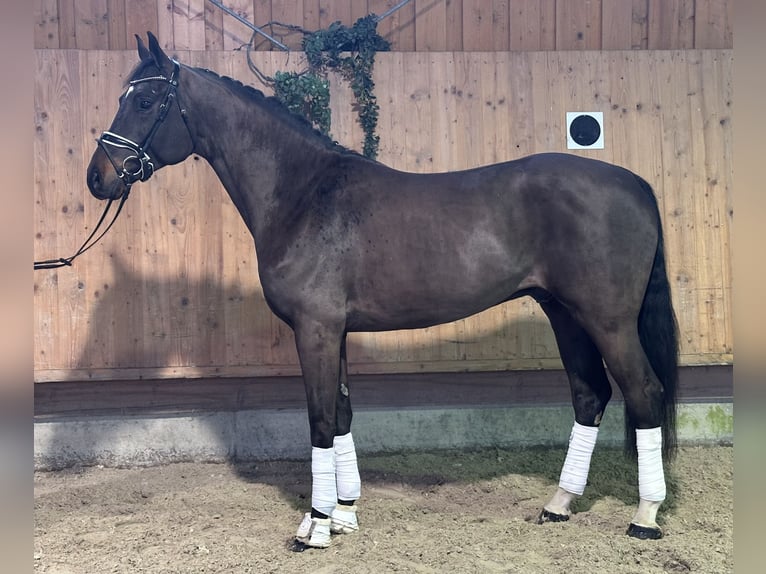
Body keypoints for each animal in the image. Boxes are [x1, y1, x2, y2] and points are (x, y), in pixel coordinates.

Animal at [86, 33, 679, 548]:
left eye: (145, 100)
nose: (98, 178)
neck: (304, 193)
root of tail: (634, 183)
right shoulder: (335, 331)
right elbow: (343, 415)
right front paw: (344, 514)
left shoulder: (316, 329)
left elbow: (321, 418)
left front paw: (316, 526)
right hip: (564, 313)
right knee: (590, 394)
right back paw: (558, 504)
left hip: (607, 319)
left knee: (644, 392)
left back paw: (645, 516)